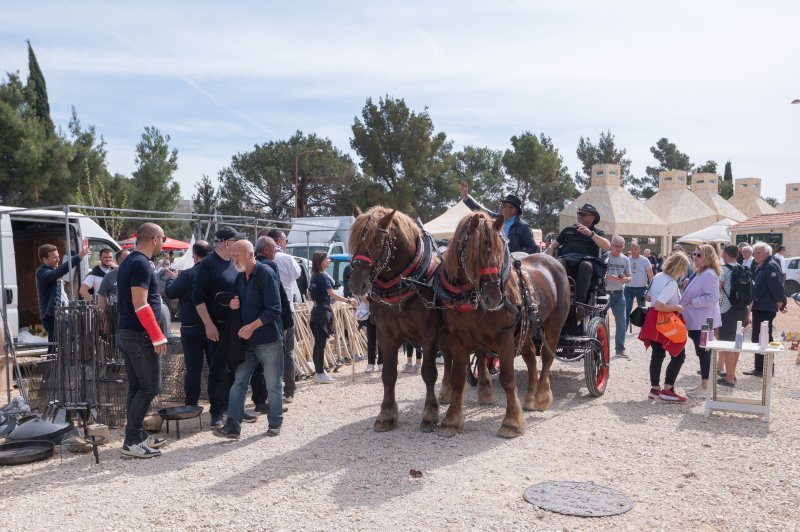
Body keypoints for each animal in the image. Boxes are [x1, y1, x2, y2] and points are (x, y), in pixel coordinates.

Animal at [350, 205, 450, 432]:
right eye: (353, 240)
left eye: (378, 242)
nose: (356, 284)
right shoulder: (385, 336)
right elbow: (388, 374)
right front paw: (386, 414)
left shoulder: (429, 336)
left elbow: (429, 373)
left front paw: (430, 414)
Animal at [438, 213, 568, 440]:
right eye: (475, 253)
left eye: (500, 253)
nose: (493, 297)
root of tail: (554, 261)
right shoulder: (458, 338)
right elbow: (458, 379)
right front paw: (451, 420)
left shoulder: (504, 337)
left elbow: (508, 379)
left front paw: (512, 422)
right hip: (526, 330)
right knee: (530, 356)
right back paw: (530, 398)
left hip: (554, 326)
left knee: (546, 358)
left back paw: (541, 396)